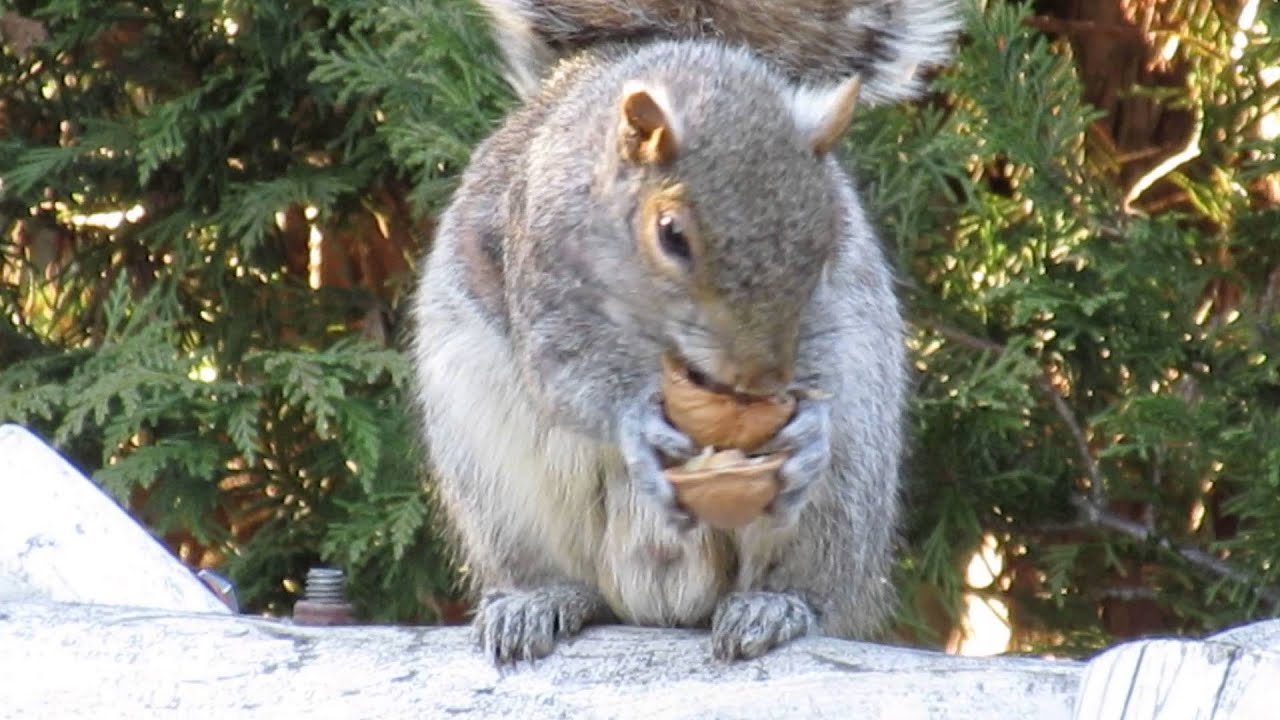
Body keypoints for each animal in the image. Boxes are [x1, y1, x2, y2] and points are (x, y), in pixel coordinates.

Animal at [409, 0, 960, 663]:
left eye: (828, 239)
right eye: (672, 234)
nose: (762, 379)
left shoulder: (836, 311)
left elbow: (822, 360)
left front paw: (807, 430)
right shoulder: (537, 267)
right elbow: (567, 375)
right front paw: (637, 423)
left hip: (849, 485)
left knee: (817, 581)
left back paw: (777, 604)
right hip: (497, 482)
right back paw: (540, 599)